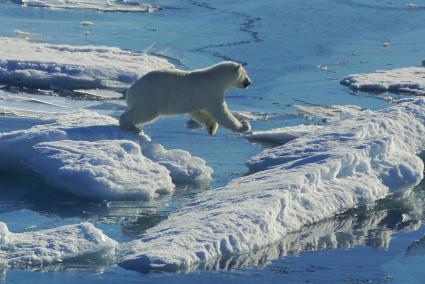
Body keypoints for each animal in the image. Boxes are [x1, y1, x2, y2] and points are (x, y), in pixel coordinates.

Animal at [119, 60, 252, 135]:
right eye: (245, 74)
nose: (249, 83)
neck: (216, 78)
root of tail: (131, 90)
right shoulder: (211, 92)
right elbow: (221, 113)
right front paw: (244, 126)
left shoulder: (197, 98)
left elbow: (198, 112)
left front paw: (211, 128)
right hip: (151, 97)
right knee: (144, 113)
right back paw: (133, 128)